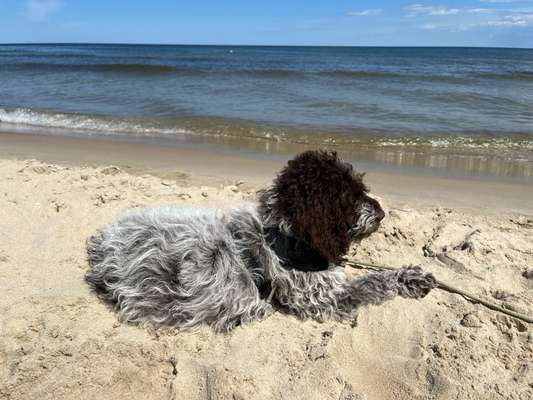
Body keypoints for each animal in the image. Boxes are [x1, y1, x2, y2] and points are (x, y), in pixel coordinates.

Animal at [86, 150, 436, 332]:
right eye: (349, 197)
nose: (382, 212)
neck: (282, 236)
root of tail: (103, 253)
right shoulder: (324, 299)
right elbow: (372, 283)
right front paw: (411, 278)